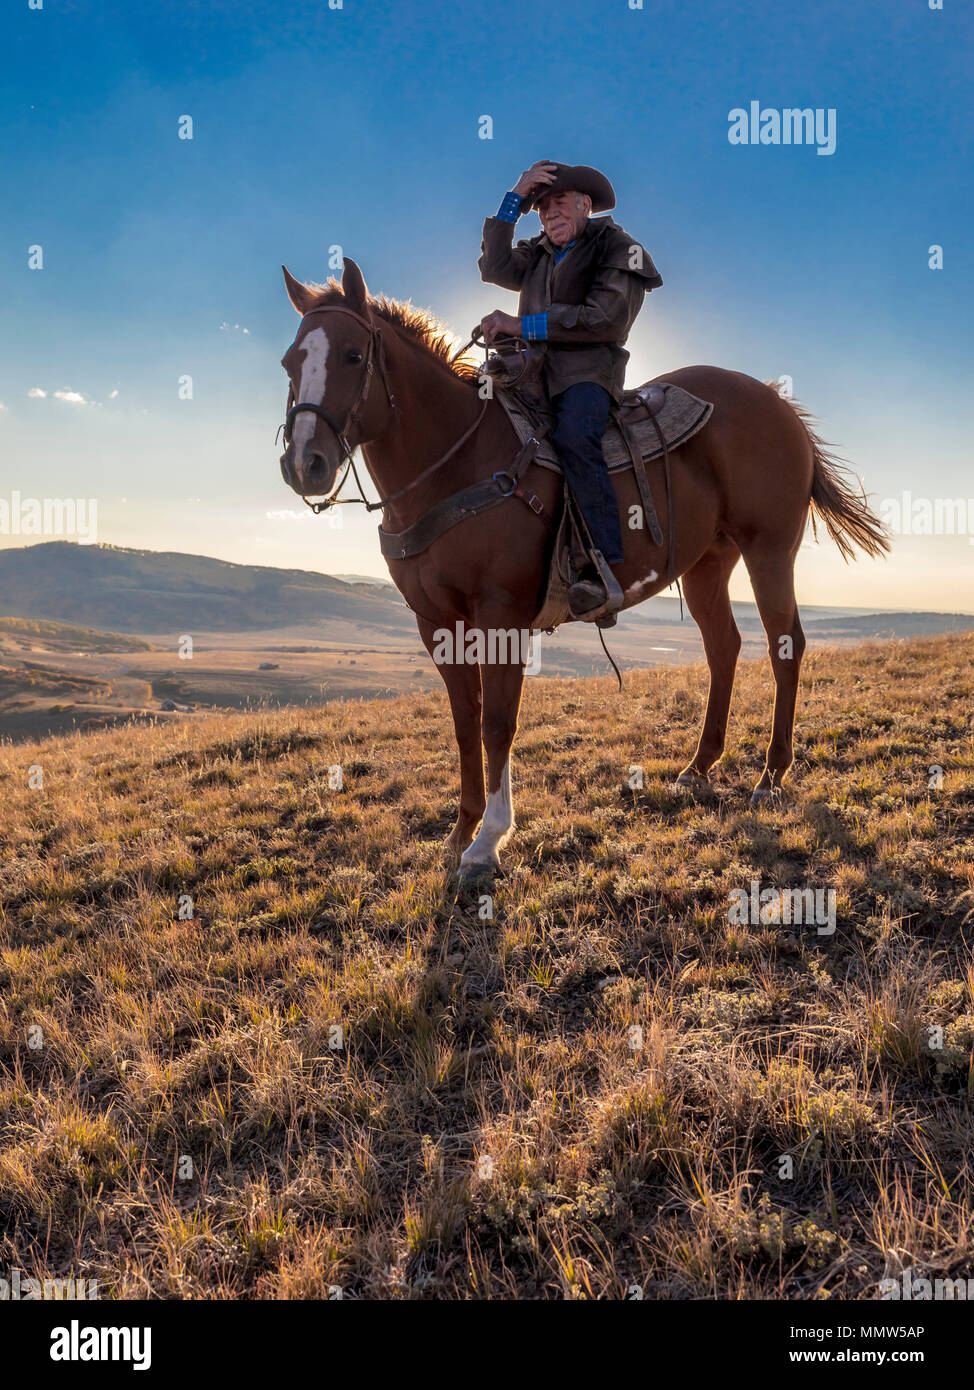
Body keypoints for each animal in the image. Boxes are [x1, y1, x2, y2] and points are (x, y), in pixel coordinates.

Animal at [277, 261, 883, 878]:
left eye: (353, 355)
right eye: (290, 363)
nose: (304, 464)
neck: (453, 464)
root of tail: (776, 401)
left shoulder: (501, 614)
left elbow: (497, 722)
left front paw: (489, 839)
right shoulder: (435, 623)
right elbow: (464, 721)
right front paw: (460, 831)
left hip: (769, 550)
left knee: (786, 646)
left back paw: (771, 775)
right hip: (708, 562)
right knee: (724, 648)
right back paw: (699, 767)